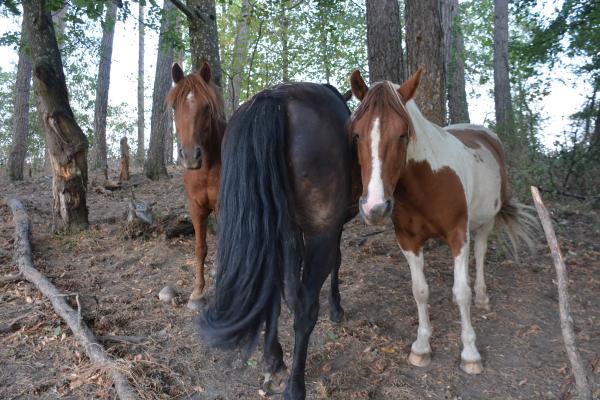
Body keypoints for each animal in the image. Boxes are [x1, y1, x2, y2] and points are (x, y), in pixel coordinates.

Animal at [199, 82, 357, 400]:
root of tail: (275, 98)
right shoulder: (331, 230)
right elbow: (337, 261)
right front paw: (336, 308)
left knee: (270, 288)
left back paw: (273, 358)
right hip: (320, 232)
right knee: (306, 306)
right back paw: (295, 385)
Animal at [349, 68, 537, 374]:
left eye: (402, 134)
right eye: (356, 135)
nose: (374, 208)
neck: (428, 180)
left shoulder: (458, 234)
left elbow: (462, 292)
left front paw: (470, 353)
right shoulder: (408, 240)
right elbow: (420, 291)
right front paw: (421, 346)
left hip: (485, 222)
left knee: (480, 254)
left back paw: (482, 297)